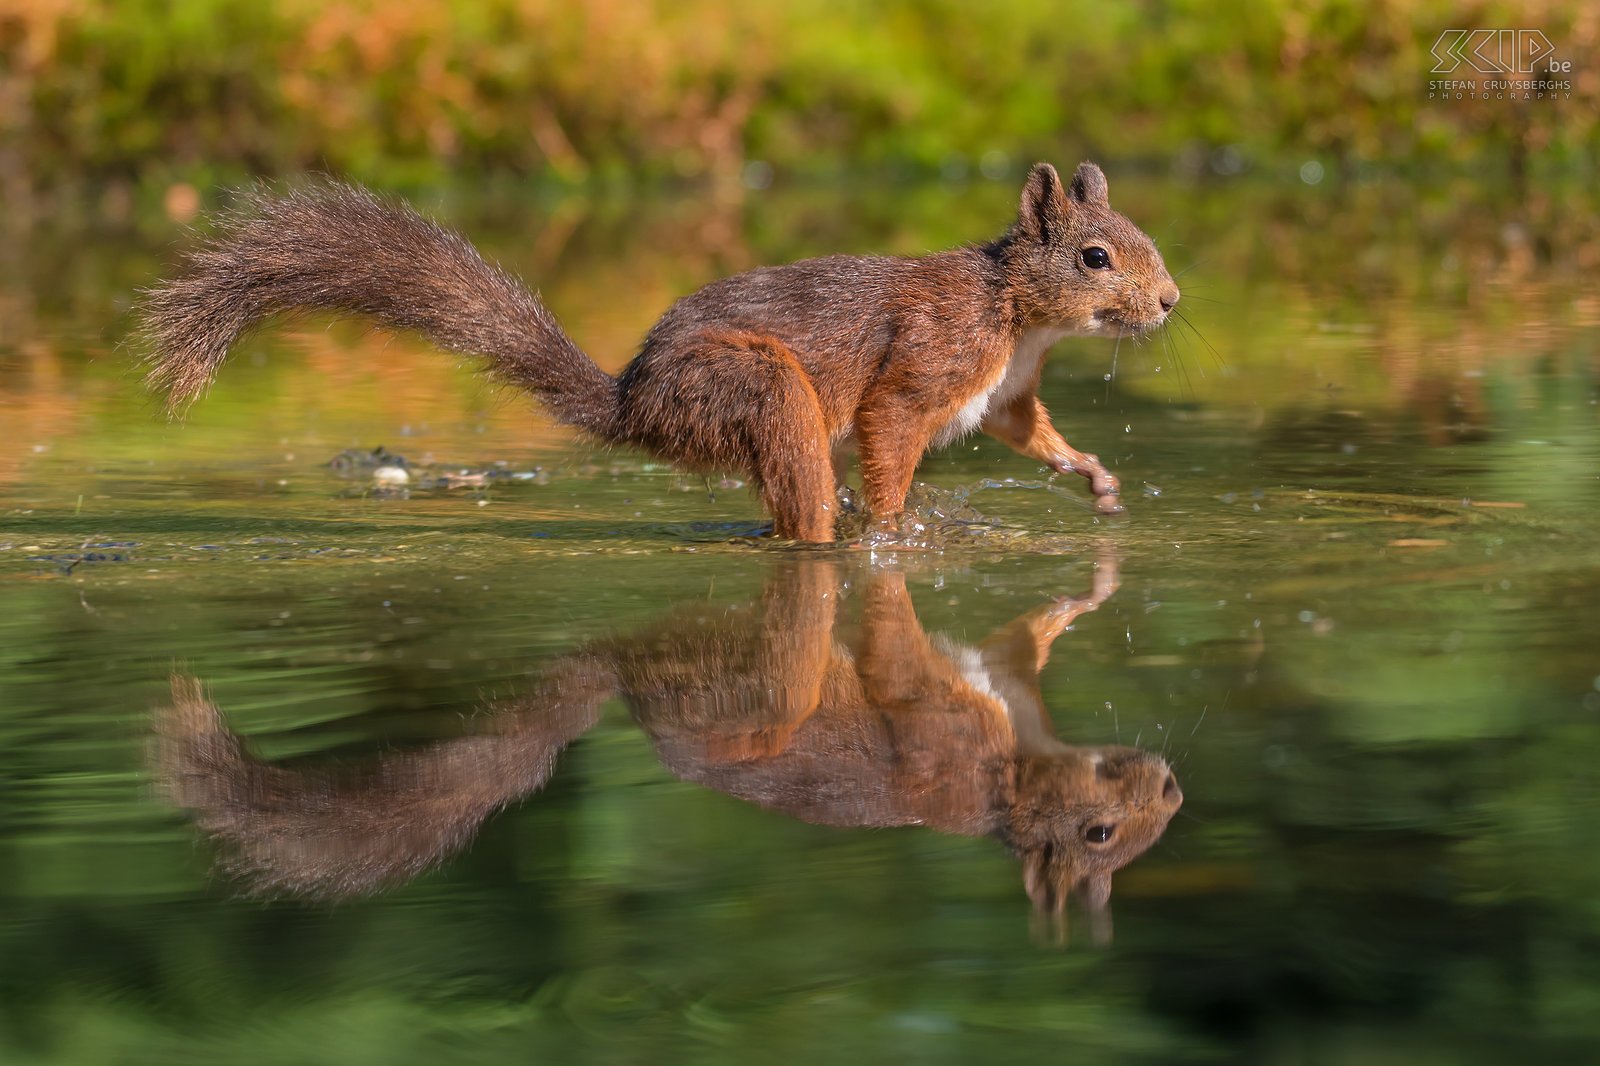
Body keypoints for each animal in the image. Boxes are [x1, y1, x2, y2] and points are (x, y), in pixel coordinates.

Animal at [144, 164, 1184, 541]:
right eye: (1096, 257)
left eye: (1139, 232)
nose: (1172, 301)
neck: (1015, 312)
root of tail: (633, 403)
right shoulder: (926, 364)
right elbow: (890, 430)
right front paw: (897, 530)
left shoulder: (1005, 393)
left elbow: (1029, 433)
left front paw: (1095, 476)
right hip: (756, 388)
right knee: (801, 503)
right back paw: (841, 533)